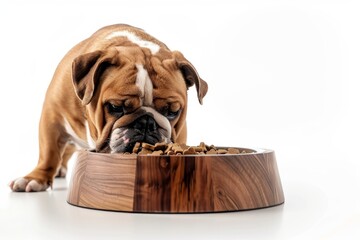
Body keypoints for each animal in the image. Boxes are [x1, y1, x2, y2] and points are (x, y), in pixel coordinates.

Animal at [9, 24, 208, 192]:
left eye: (173, 112)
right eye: (115, 107)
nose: (146, 122)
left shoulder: (180, 132)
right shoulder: (52, 117)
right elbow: (49, 152)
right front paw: (36, 178)